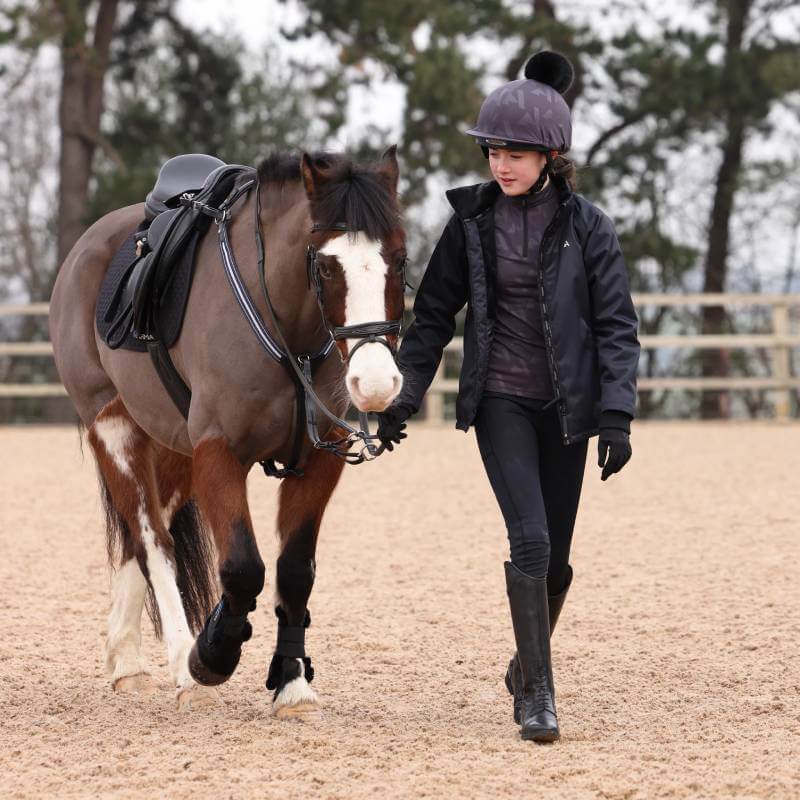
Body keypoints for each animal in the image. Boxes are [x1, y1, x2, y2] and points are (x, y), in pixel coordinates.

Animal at [49, 147, 406, 714]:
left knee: (144, 537)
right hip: (114, 427)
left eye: (401, 258)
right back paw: (181, 664)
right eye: (324, 265)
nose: (375, 382)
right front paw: (211, 654)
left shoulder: (319, 459)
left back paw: (126, 663)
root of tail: (87, 246)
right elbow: (242, 568)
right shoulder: (219, 453)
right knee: (152, 539)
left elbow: (294, 571)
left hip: (174, 447)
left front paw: (292, 685)